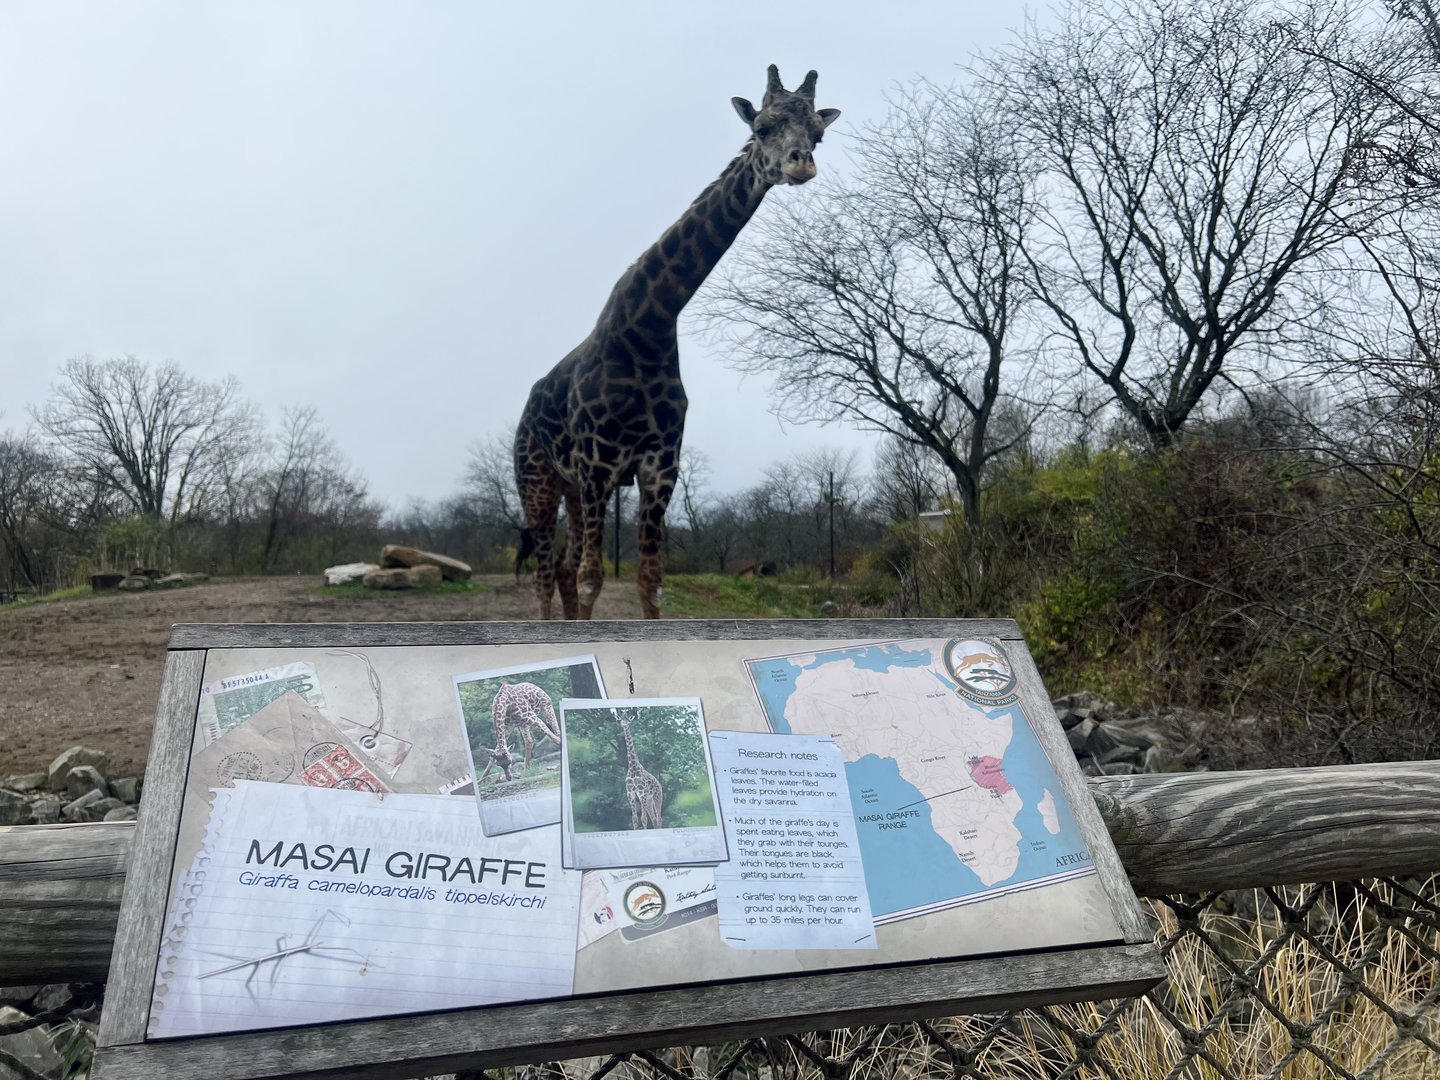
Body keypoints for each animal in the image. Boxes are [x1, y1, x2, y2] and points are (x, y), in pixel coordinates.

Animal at [514, 65, 841, 619]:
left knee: (559, 568)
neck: (647, 328)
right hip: (538, 482)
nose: (802, 164)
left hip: (572, 488)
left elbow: (649, 580)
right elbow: (593, 578)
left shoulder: (659, 466)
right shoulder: (600, 464)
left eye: (818, 133)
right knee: (544, 576)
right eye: (762, 128)